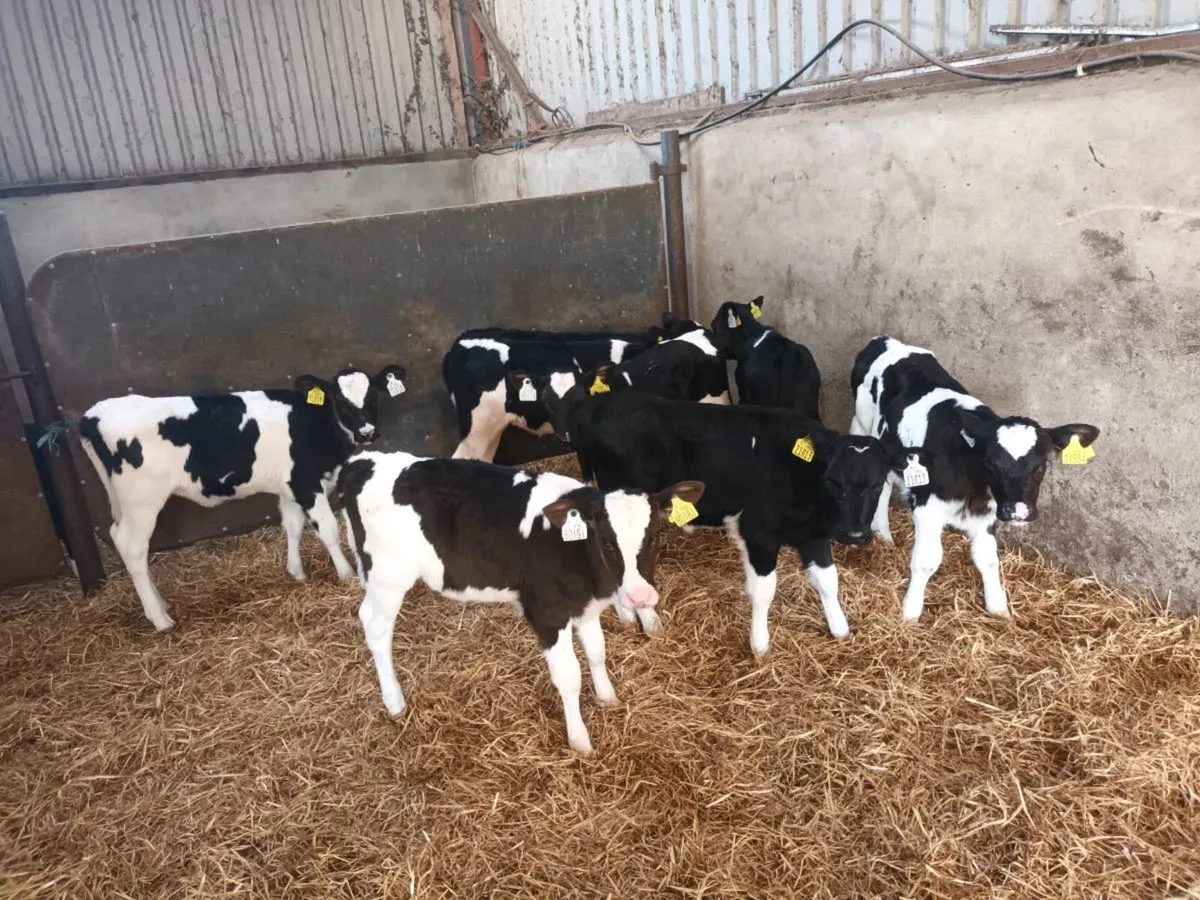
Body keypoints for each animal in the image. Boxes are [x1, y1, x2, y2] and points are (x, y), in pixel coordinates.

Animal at [78, 365, 407, 630]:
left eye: (373, 396)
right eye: (339, 400)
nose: (367, 432)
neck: (314, 422)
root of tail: (95, 414)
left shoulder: (289, 485)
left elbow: (292, 526)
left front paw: (297, 572)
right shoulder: (306, 483)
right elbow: (327, 529)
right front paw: (346, 573)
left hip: (123, 500)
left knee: (117, 536)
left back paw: (160, 604)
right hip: (142, 500)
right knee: (132, 547)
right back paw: (159, 619)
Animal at [337, 451, 704, 755]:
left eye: (654, 534)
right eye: (606, 540)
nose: (641, 596)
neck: (574, 549)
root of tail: (362, 461)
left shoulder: (584, 609)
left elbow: (598, 653)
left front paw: (608, 698)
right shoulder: (547, 614)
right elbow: (569, 677)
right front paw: (580, 741)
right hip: (388, 576)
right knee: (375, 626)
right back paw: (394, 702)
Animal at [546, 388, 933, 655]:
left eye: (878, 483)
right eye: (834, 481)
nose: (854, 534)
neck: (801, 476)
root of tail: (599, 404)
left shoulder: (813, 534)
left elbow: (828, 582)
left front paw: (839, 627)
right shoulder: (760, 533)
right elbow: (765, 591)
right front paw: (759, 644)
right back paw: (649, 623)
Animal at [850, 336, 1100, 622]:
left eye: (1041, 465)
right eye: (991, 464)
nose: (1018, 512)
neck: (973, 488)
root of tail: (885, 340)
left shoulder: (988, 513)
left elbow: (988, 559)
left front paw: (999, 610)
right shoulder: (927, 507)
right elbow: (926, 561)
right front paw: (909, 612)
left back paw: (884, 536)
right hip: (861, 424)